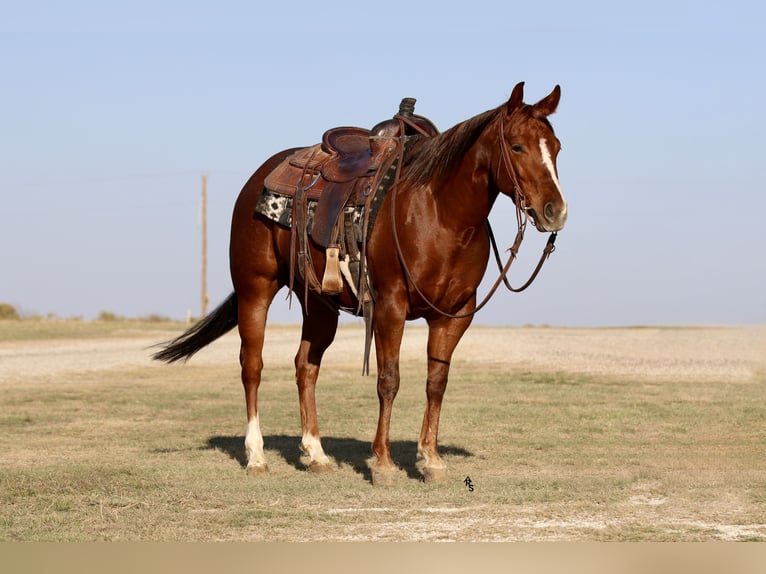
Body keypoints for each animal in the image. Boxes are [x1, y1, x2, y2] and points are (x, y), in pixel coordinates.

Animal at [153, 82, 567, 486]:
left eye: (557, 147)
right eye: (517, 146)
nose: (555, 211)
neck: (440, 214)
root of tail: (258, 178)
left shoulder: (455, 314)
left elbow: (436, 382)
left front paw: (431, 460)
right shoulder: (390, 306)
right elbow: (389, 380)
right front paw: (382, 463)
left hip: (319, 305)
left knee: (305, 365)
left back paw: (316, 454)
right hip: (255, 289)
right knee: (251, 365)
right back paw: (256, 456)